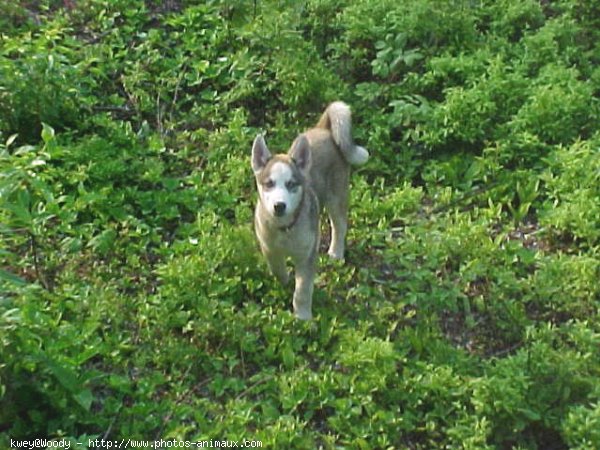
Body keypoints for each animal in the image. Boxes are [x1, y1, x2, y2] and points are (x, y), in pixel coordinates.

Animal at [251, 102, 368, 320]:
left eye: (291, 184)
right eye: (269, 184)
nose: (279, 206)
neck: (285, 229)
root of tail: (324, 129)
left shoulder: (307, 256)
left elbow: (303, 291)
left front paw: (303, 317)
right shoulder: (269, 249)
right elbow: (277, 269)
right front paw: (285, 282)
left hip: (336, 198)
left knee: (339, 226)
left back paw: (336, 253)